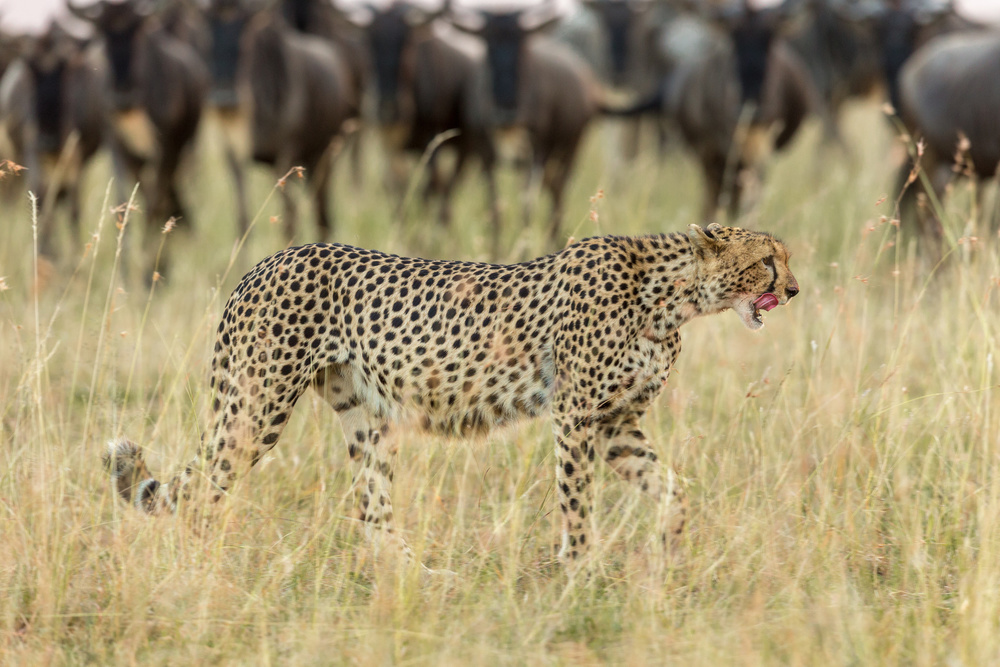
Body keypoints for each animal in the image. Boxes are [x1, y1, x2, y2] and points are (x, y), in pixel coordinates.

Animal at [105, 223, 800, 564]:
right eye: (768, 261)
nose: (793, 291)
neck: (676, 297)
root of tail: (268, 260)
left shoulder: (616, 426)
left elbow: (675, 491)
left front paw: (669, 551)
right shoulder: (576, 417)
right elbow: (576, 503)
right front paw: (579, 570)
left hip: (366, 417)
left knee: (373, 516)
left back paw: (421, 577)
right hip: (257, 407)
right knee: (203, 490)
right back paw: (197, 574)